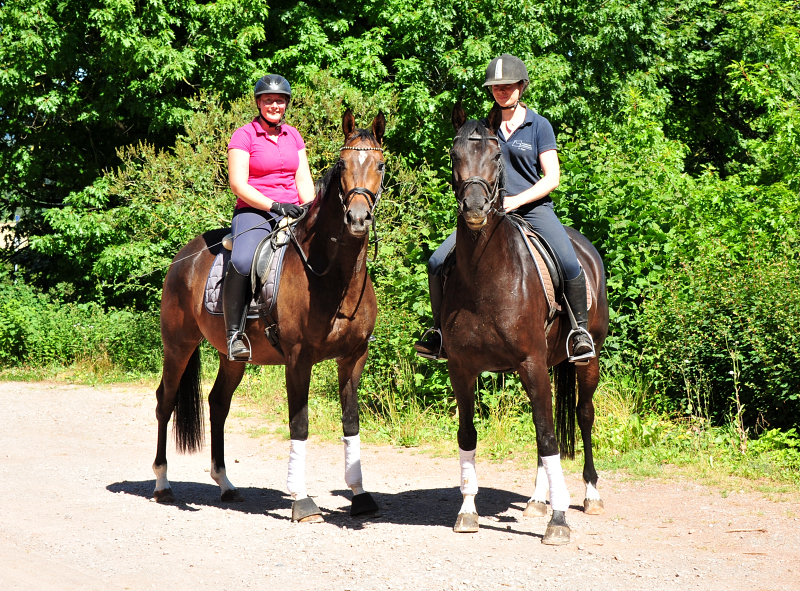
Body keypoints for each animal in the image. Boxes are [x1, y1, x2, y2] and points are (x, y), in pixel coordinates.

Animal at [154, 111, 388, 524]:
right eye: (343, 164)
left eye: (379, 165)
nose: (358, 218)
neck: (331, 275)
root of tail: (185, 256)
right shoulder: (298, 359)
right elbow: (300, 424)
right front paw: (302, 501)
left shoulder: (353, 358)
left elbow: (351, 422)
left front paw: (360, 495)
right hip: (178, 345)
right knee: (165, 400)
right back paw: (163, 484)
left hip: (232, 357)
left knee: (218, 403)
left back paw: (226, 485)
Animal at [446, 105, 608, 544]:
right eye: (454, 156)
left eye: (497, 157)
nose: (475, 210)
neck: (485, 278)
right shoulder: (462, 369)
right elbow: (468, 435)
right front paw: (467, 512)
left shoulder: (532, 363)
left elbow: (549, 434)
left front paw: (560, 519)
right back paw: (537, 499)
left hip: (586, 360)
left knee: (583, 415)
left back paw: (590, 494)